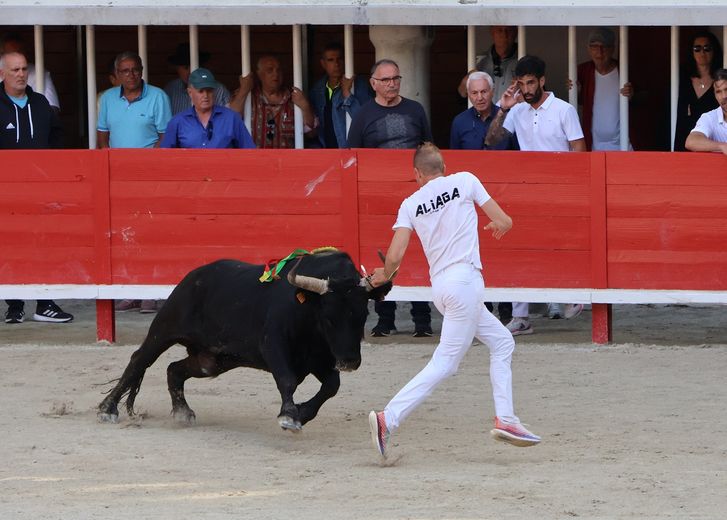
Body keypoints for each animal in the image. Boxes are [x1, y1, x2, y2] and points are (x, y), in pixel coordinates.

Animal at [98, 252, 392, 430]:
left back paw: (183, 411)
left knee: (175, 369)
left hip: (212, 360)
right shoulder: (273, 346)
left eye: (364, 314)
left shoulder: (320, 359)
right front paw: (289, 415)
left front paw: (302, 412)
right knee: (139, 361)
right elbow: (287, 380)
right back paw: (107, 409)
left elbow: (332, 386)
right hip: (165, 329)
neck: (307, 311)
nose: (350, 361)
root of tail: (195, 275)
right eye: (328, 318)